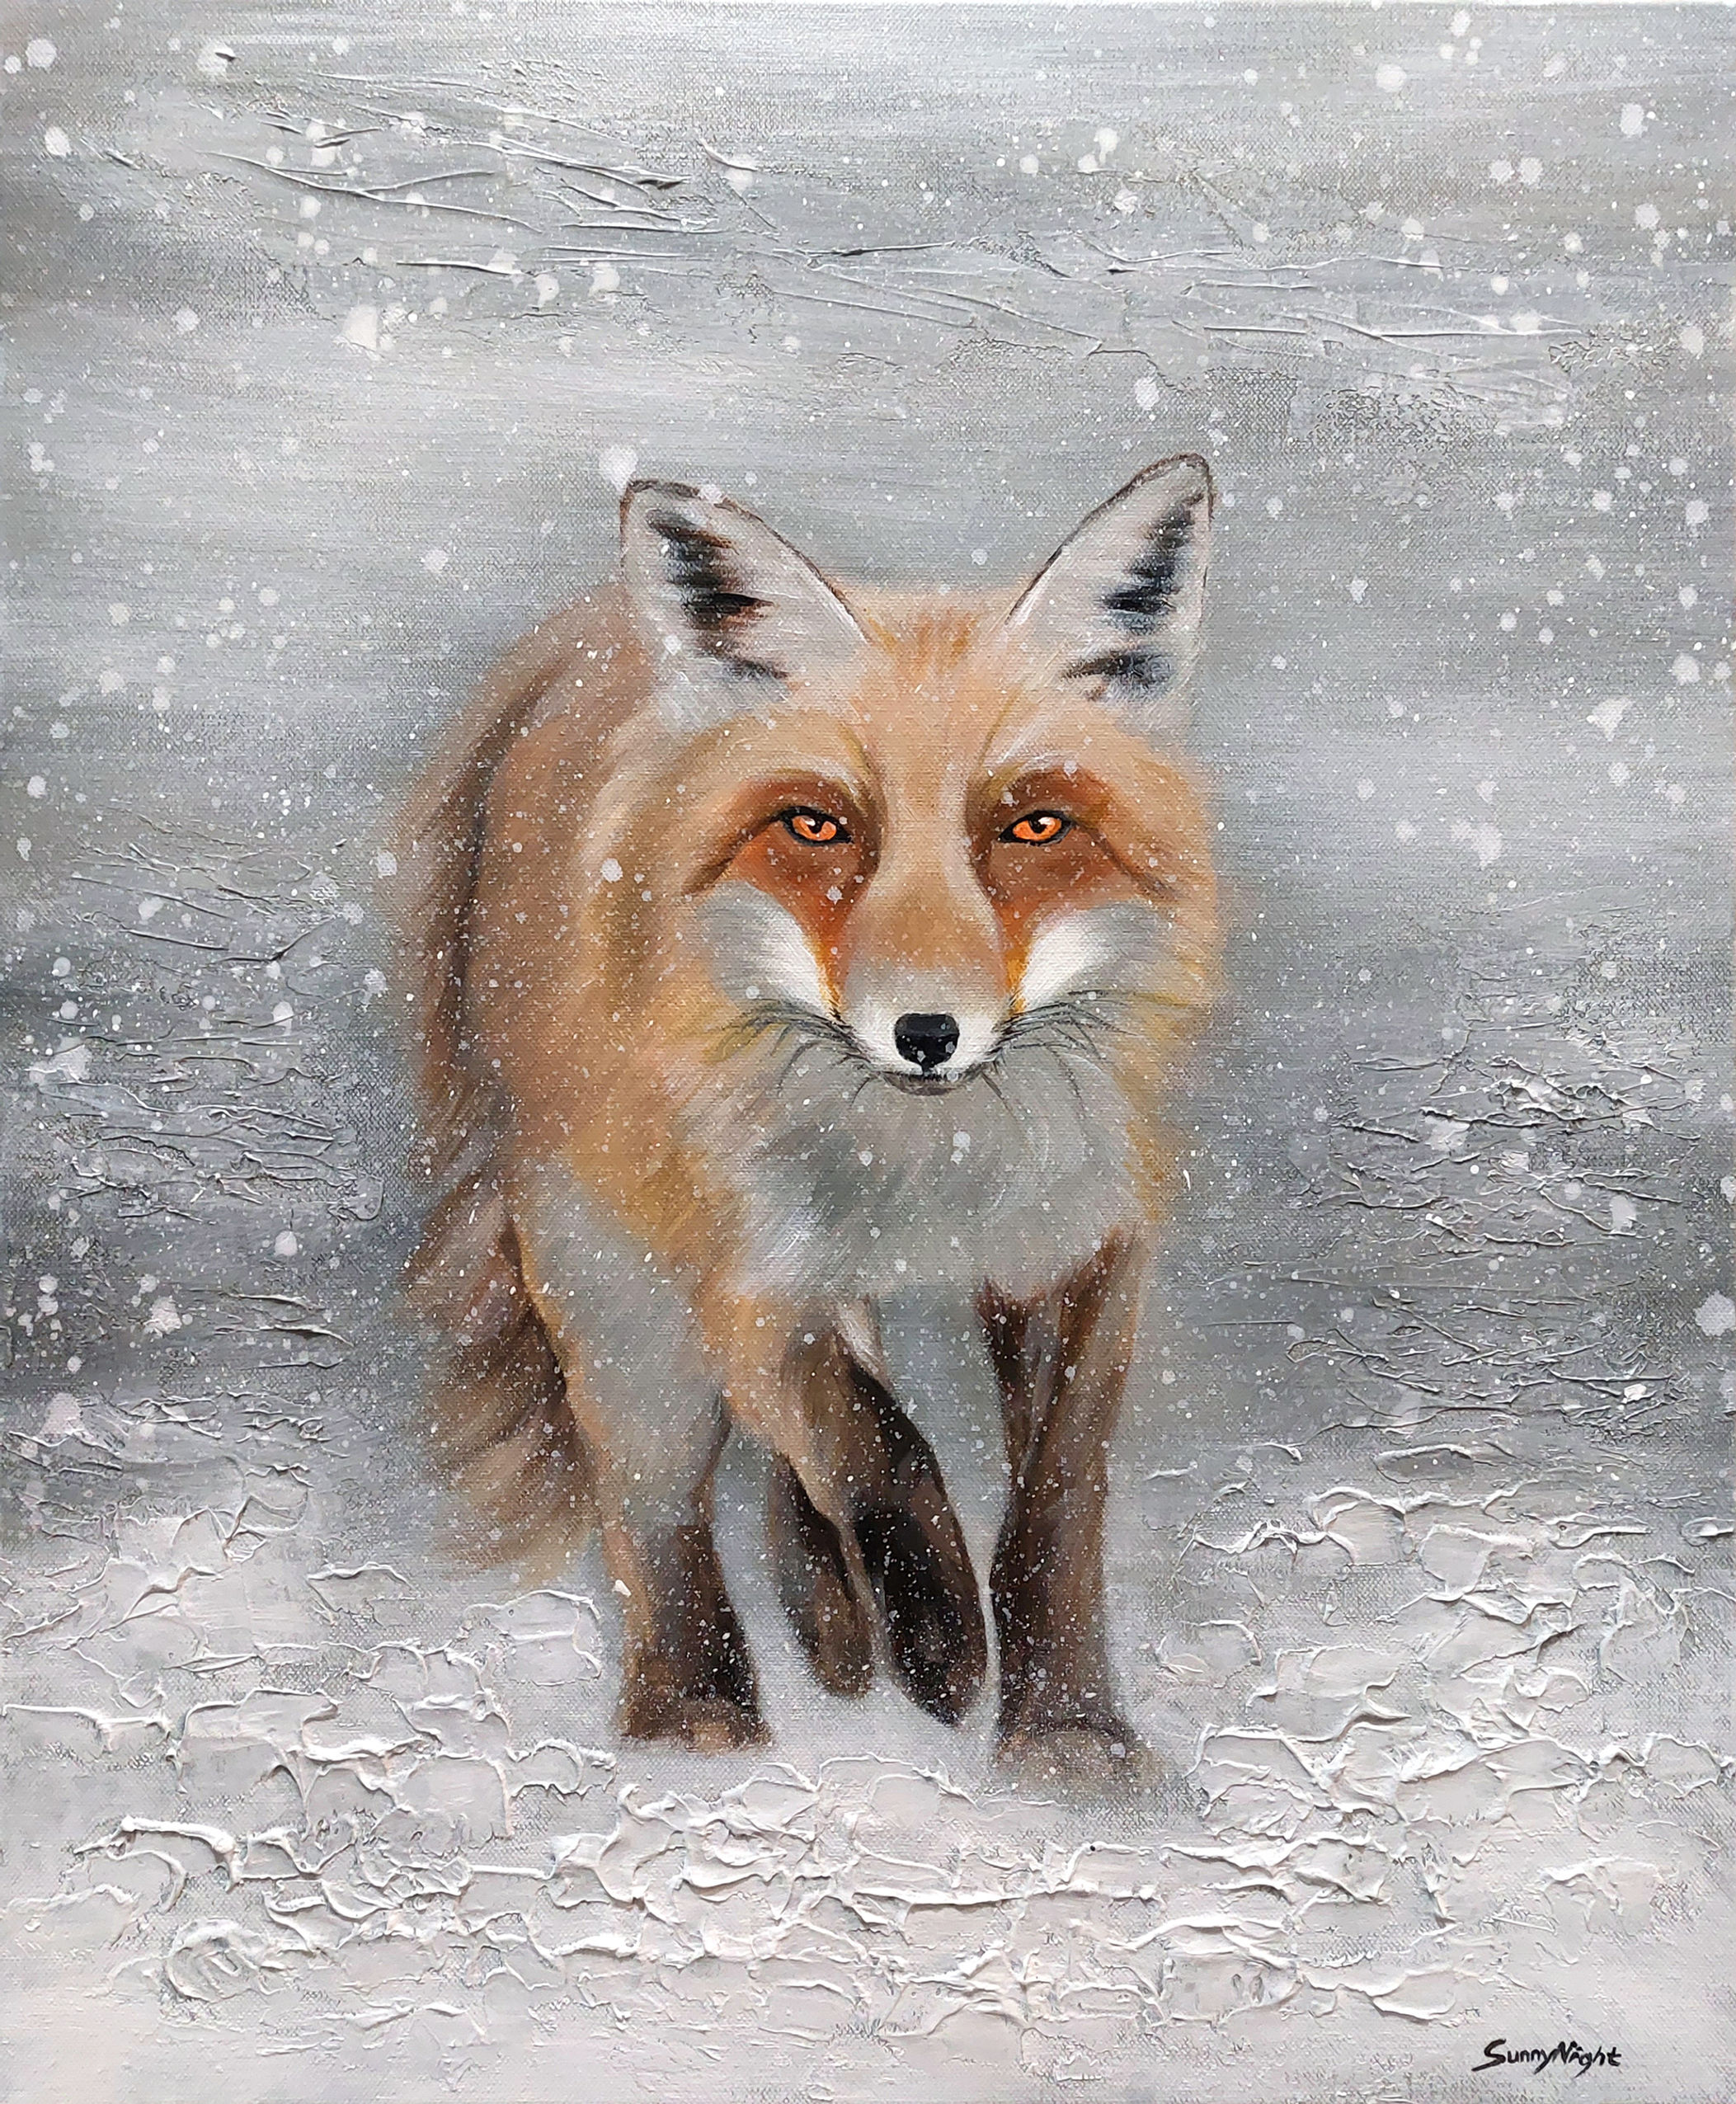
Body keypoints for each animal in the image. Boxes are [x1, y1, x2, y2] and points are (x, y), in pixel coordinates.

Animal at [394, 455, 1221, 1782]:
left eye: (1033, 826)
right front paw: (939, 1636)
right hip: (617, 1275)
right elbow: (872, 1443)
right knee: (663, 1499)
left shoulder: (1075, 1246)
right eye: (818, 824)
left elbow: (1053, 1506)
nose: (926, 1032)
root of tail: (576, 636)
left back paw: (829, 1622)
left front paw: (1067, 1733)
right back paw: (692, 1710)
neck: (931, 1169)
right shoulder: (747, 1264)